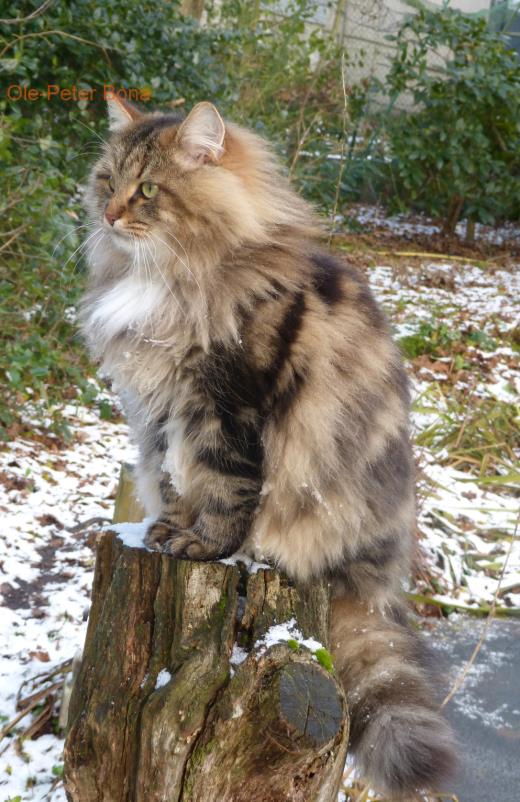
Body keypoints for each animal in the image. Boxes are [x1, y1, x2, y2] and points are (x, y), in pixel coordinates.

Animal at [80, 94, 456, 792]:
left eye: (147, 191)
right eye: (107, 180)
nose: (111, 213)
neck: (169, 276)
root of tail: (372, 578)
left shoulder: (227, 407)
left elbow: (225, 489)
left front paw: (204, 546)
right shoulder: (159, 416)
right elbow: (173, 480)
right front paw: (168, 531)